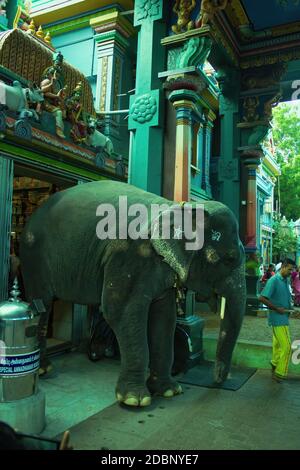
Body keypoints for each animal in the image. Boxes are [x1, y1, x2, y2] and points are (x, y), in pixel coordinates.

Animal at [20, 180, 246, 408]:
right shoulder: (129, 255)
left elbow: (164, 318)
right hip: (33, 256)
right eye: (229, 259)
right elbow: (121, 312)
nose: (217, 382)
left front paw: (169, 391)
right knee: (42, 303)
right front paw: (134, 400)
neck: (176, 206)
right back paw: (43, 369)